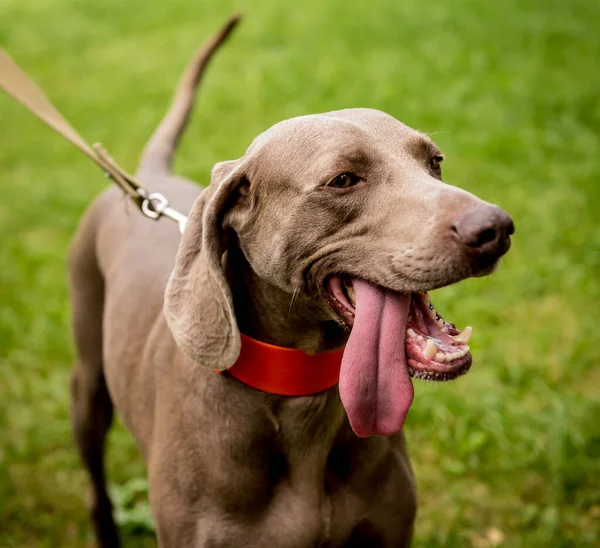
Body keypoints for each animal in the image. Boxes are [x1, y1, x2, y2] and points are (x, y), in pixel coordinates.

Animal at [69, 16, 510, 548]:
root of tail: (146, 179)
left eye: (435, 161)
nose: (495, 229)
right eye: (343, 179)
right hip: (88, 386)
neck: (303, 395)